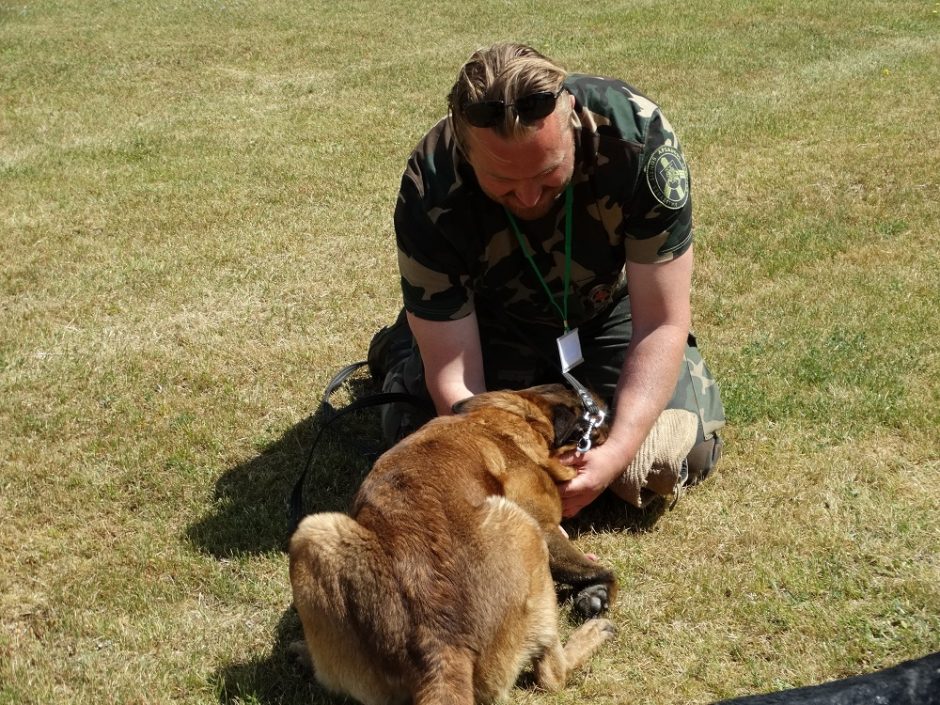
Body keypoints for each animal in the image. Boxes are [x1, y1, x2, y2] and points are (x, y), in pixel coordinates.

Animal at [290, 384, 620, 704]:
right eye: (588, 413)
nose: (609, 409)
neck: (498, 421)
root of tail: (439, 650)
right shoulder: (544, 525)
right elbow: (600, 571)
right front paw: (597, 593)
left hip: (313, 533)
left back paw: (305, 655)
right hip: (523, 527)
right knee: (552, 676)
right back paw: (591, 635)